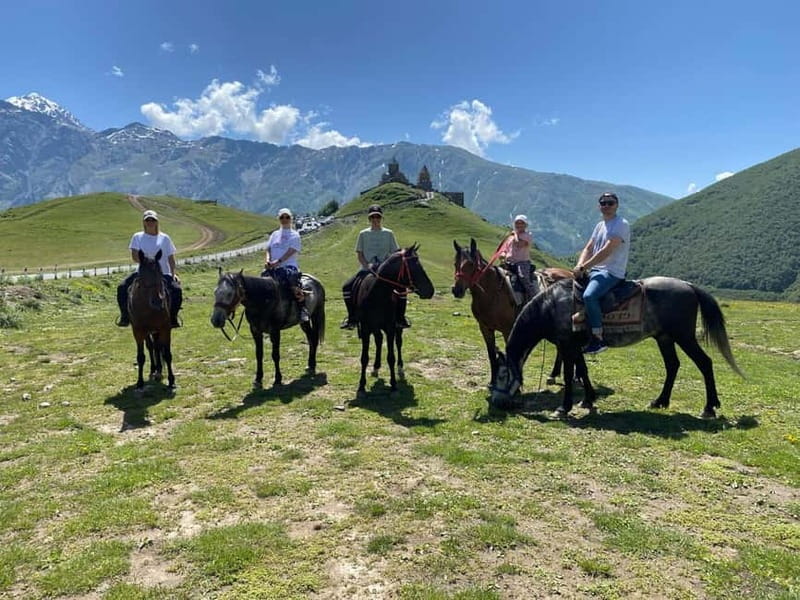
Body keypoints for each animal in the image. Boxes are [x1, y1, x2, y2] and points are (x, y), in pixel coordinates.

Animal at [127, 249, 175, 390]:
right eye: (143, 276)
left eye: (159, 274)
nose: (158, 302)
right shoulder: (138, 331)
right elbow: (141, 357)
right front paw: (139, 382)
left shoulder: (165, 328)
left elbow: (167, 354)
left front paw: (171, 380)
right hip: (147, 332)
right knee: (151, 347)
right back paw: (154, 369)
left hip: (155, 331)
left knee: (157, 347)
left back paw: (158, 370)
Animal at [354, 244, 435, 396]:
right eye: (415, 266)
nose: (430, 290)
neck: (376, 296)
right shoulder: (366, 328)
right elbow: (364, 358)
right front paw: (361, 386)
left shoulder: (390, 328)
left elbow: (391, 357)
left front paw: (394, 386)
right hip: (375, 328)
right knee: (379, 340)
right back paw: (376, 367)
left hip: (397, 327)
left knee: (398, 343)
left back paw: (400, 368)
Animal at [452, 238, 574, 387]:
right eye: (455, 263)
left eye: (471, 264)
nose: (456, 290)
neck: (492, 293)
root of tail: (570, 274)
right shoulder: (485, 328)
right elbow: (491, 355)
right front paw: (493, 381)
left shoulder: (507, 330)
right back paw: (553, 375)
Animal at [490, 276, 744, 418]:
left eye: (502, 375)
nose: (496, 402)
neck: (550, 306)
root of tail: (689, 286)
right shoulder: (576, 346)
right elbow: (583, 370)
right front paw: (588, 399)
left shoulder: (567, 345)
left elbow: (571, 375)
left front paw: (564, 407)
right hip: (664, 338)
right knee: (673, 366)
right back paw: (659, 401)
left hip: (684, 337)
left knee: (704, 363)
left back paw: (709, 407)